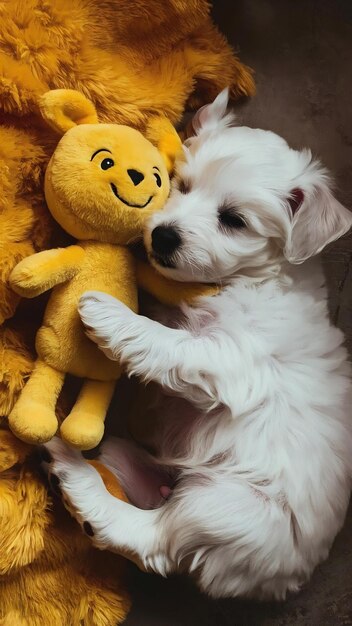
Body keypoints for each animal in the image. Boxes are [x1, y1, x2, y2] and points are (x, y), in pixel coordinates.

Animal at [44, 90, 352, 596]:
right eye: (182, 186)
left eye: (233, 220)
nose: (162, 235)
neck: (251, 278)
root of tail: (280, 581)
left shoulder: (234, 359)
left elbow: (171, 344)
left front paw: (109, 315)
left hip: (228, 508)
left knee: (150, 538)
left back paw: (75, 473)